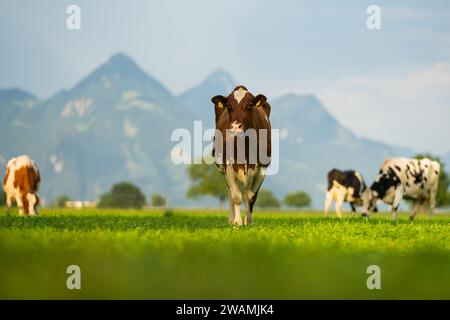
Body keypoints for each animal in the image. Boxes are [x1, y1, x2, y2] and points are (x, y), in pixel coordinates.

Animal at [211, 85, 270, 225]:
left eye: (249, 105)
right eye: (229, 106)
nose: (235, 127)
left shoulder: (262, 167)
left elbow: (251, 196)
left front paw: (248, 221)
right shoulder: (228, 165)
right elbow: (236, 196)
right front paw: (237, 222)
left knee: (247, 190)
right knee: (230, 191)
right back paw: (231, 219)